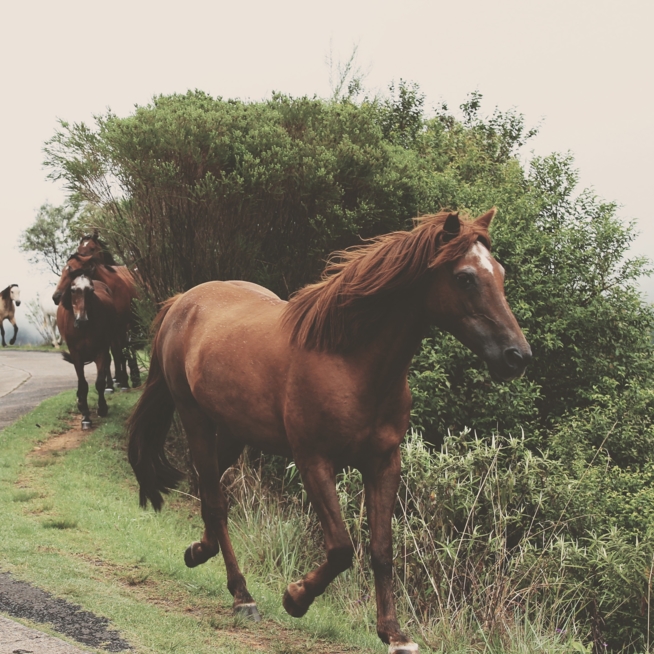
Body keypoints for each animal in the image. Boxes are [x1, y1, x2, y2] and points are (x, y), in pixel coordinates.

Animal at [53, 255, 140, 390]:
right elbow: (110, 356)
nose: (56, 297)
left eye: (73, 270)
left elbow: (121, 352)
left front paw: (124, 382)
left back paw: (133, 378)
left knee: (129, 348)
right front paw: (110, 385)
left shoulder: (121, 327)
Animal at [57, 272, 121, 430]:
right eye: (73, 290)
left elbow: (99, 382)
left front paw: (102, 408)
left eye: (91, 291)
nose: (82, 320)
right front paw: (85, 416)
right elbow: (83, 384)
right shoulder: (76, 353)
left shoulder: (101, 349)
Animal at [128, 211, 532, 654]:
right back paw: (242, 595)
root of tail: (182, 301)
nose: (517, 356)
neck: (350, 362)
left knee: (209, 488)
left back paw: (199, 552)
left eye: (500, 273)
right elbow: (341, 548)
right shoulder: (314, 460)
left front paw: (394, 633)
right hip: (196, 419)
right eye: (465, 277)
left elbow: (381, 549)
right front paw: (295, 597)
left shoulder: (384, 463)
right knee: (216, 502)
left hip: (235, 431)